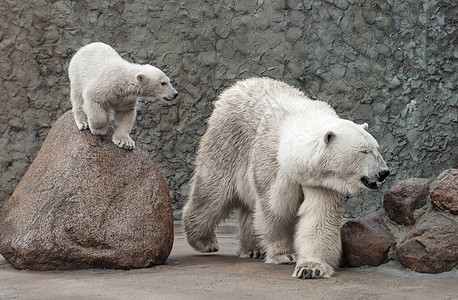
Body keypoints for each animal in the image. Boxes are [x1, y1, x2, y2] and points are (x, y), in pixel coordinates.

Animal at [182, 77, 390, 278]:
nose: (384, 172)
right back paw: (204, 241)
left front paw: (311, 268)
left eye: (376, 148)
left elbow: (319, 216)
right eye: (363, 151)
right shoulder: (272, 163)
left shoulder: (321, 181)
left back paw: (252, 249)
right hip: (226, 144)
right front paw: (284, 255)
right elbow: (275, 209)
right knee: (213, 193)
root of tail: (234, 88)